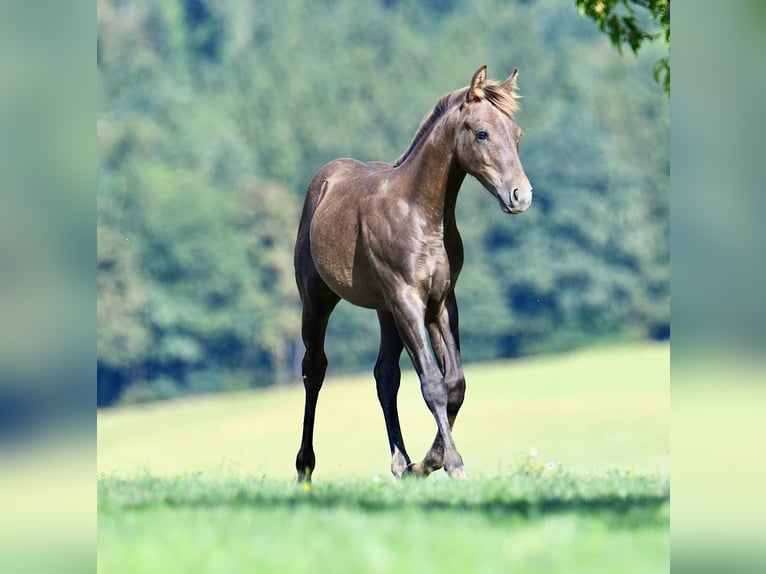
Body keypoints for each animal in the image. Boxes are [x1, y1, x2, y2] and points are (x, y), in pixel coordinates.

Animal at [294, 65, 533, 482]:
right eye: (482, 133)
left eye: (517, 134)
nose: (521, 195)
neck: (420, 213)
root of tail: (323, 181)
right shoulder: (407, 299)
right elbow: (433, 384)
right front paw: (453, 463)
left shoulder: (440, 303)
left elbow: (455, 384)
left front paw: (426, 463)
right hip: (318, 300)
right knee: (314, 369)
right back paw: (305, 467)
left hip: (384, 310)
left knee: (385, 375)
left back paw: (401, 463)